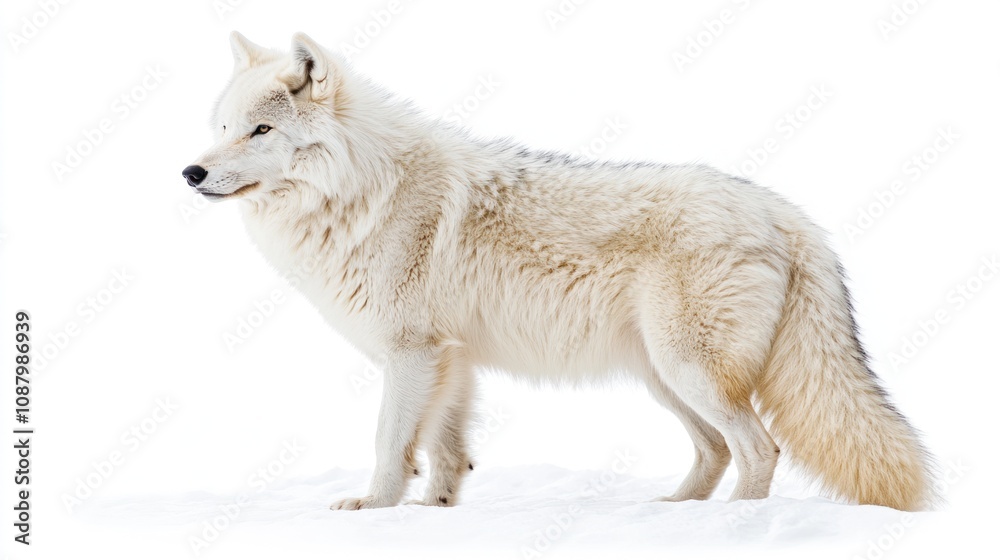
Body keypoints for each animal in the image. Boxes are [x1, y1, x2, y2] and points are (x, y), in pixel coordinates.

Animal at [182, 32, 935, 511]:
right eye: (221, 127)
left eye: (260, 132)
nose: (190, 172)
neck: (363, 192)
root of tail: (790, 215)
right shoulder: (453, 360)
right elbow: (447, 450)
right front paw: (434, 513)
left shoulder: (412, 353)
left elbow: (390, 442)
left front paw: (374, 508)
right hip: (664, 378)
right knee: (717, 451)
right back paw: (672, 513)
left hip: (687, 371)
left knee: (759, 449)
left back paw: (730, 528)